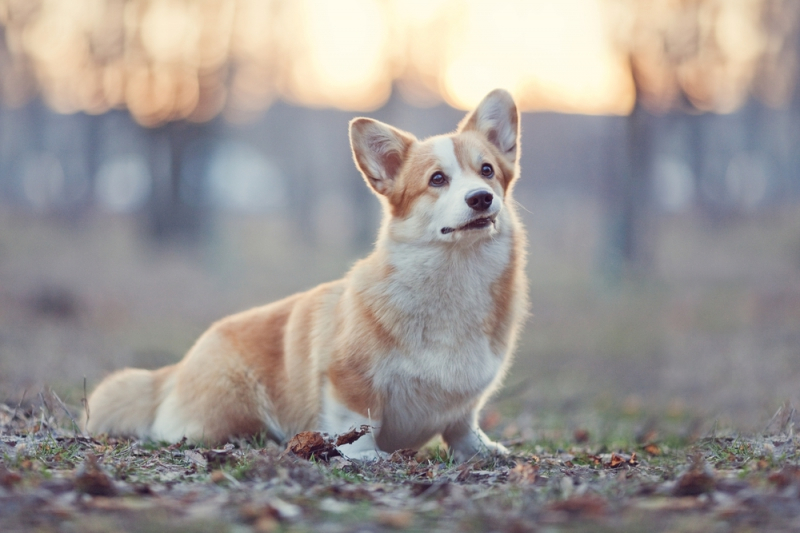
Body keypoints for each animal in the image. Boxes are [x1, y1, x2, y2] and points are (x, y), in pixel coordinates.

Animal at [84, 89, 528, 460]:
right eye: (437, 179)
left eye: (487, 171)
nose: (481, 198)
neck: (457, 274)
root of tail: (175, 369)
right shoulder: (347, 378)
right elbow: (358, 421)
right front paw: (366, 455)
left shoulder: (466, 403)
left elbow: (462, 425)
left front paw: (483, 450)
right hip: (234, 407)